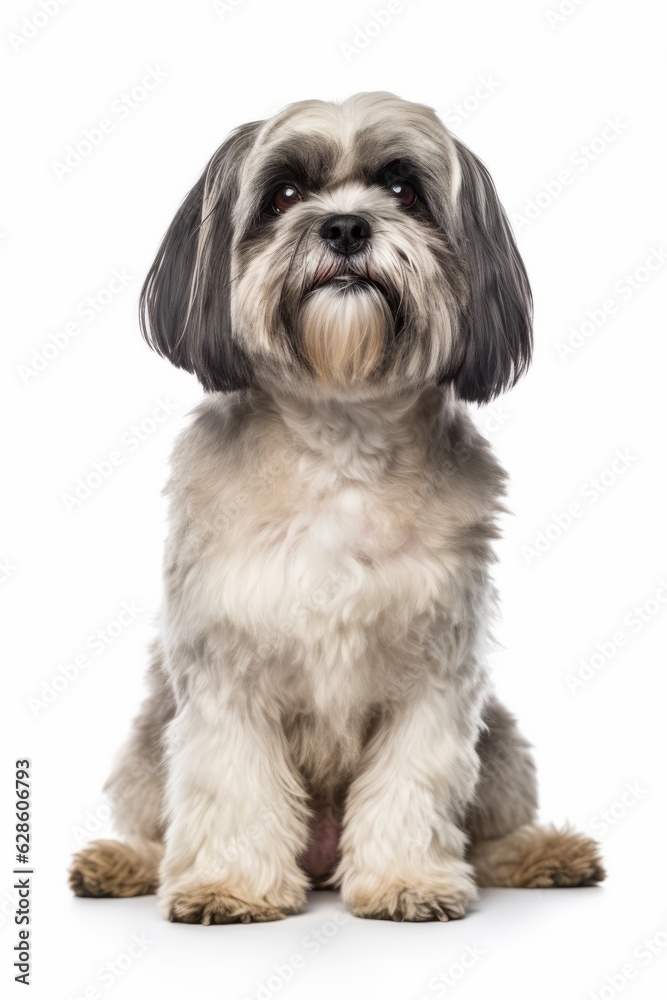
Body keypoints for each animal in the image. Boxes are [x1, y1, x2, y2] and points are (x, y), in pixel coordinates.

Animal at [69, 94, 604, 920]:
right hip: (146, 740)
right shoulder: (225, 667)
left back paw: (543, 852)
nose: (346, 226)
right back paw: (121, 862)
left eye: (404, 189)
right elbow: (232, 781)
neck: (339, 439)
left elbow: (411, 785)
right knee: (157, 823)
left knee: (486, 836)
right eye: (283, 194)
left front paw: (406, 880)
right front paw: (229, 884)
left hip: (502, 742)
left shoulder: (436, 673)